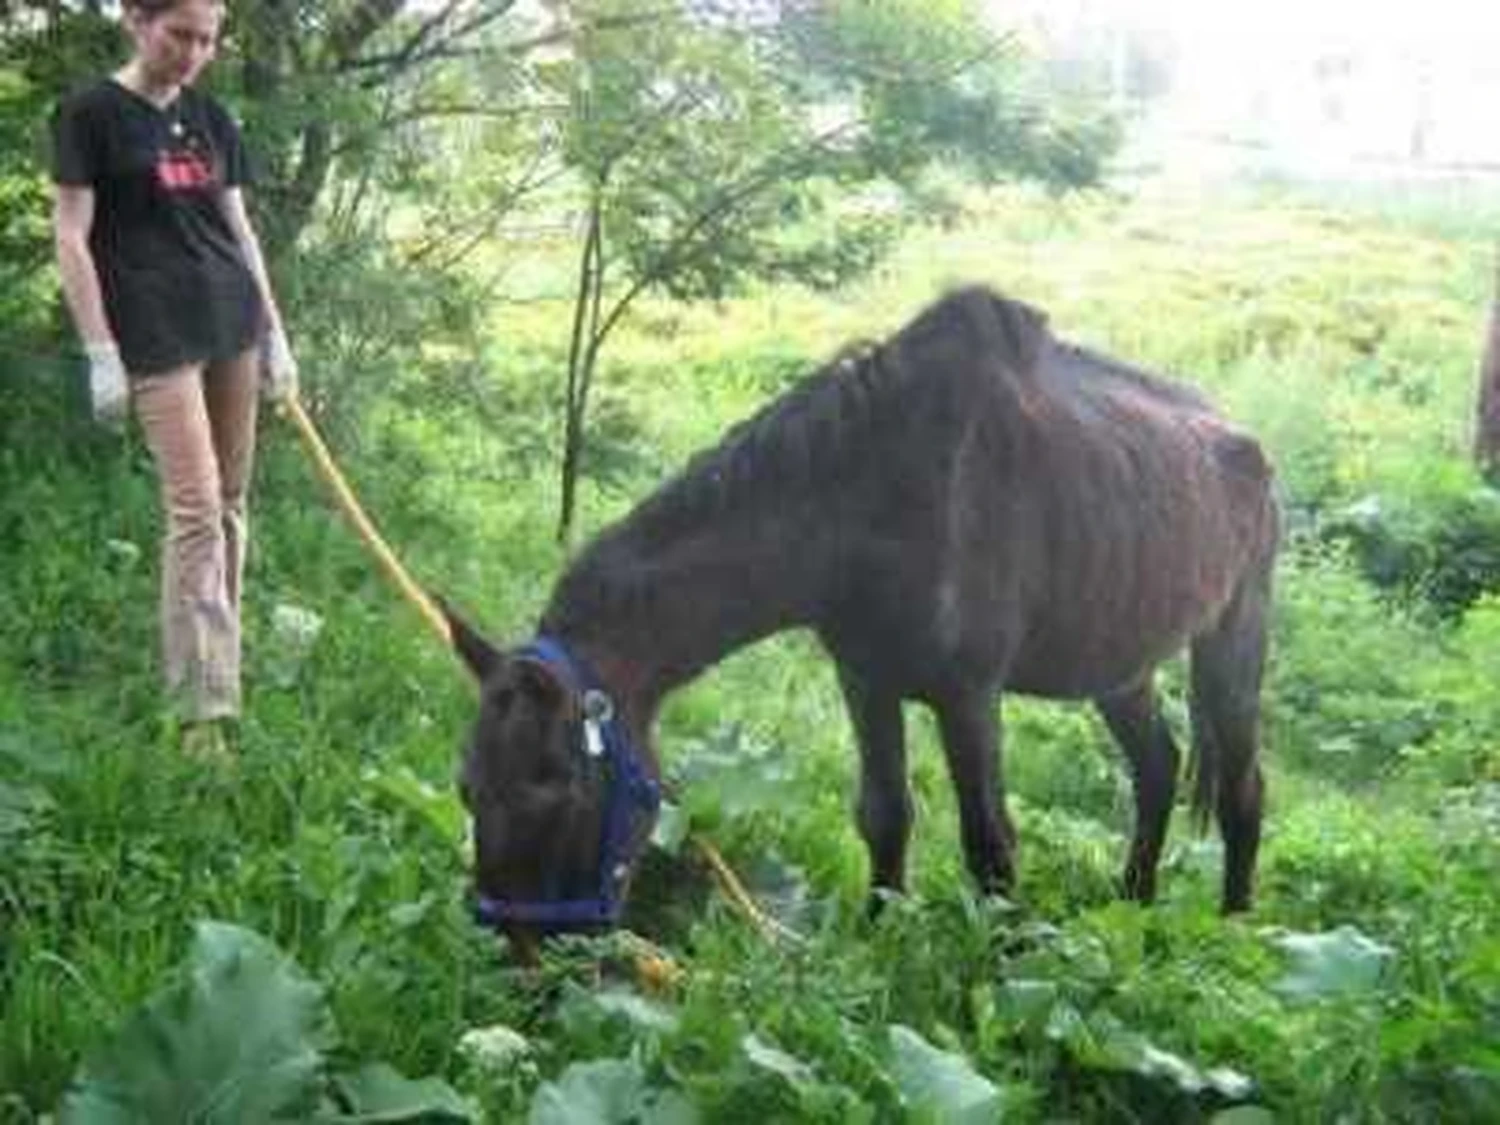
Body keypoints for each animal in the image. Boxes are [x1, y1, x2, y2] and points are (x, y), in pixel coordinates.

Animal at [443, 286, 1280, 948]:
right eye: (466, 785)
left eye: (555, 786)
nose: (521, 960)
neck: (868, 496)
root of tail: (1246, 445)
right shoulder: (866, 680)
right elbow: (885, 817)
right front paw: (876, 946)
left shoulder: (969, 696)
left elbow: (991, 846)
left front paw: (1001, 968)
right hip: (1118, 666)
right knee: (1157, 766)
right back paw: (1133, 904)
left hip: (1233, 646)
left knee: (1243, 791)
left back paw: (1236, 933)